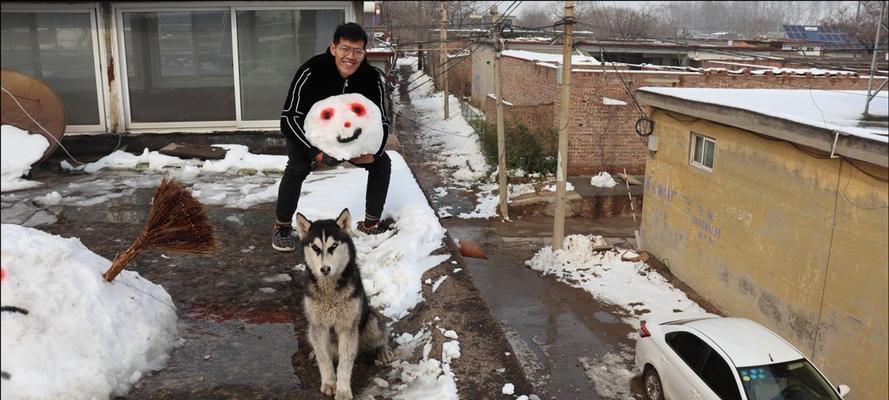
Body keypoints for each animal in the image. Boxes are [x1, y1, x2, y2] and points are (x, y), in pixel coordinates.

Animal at [296, 209, 394, 400]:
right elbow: (324, 358)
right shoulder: (318, 326)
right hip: (309, 328)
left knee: (382, 335)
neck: (329, 292)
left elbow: (345, 363)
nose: (325, 269)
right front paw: (329, 383)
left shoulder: (347, 327)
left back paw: (384, 351)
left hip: (371, 324)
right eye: (315, 248)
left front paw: (342, 390)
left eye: (334, 246)